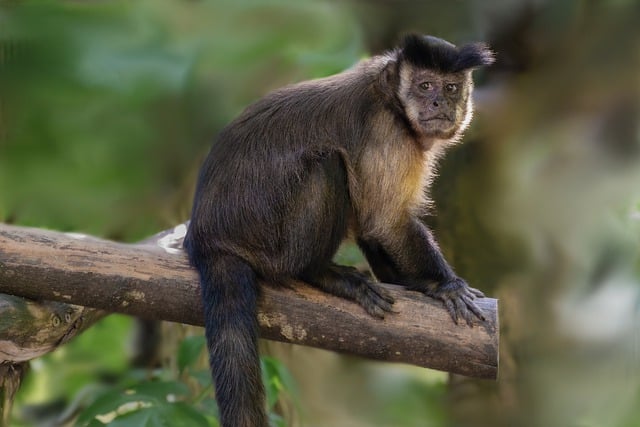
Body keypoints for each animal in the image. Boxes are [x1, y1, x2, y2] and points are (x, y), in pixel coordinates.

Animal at [183, 34, 494, 427]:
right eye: (425, 86)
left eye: (451, 88)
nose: (439, 102)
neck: (391, 100)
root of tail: (208, 238)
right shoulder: (387, 133)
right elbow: (386, 221)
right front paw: (445, 286)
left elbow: (372, 224)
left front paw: (412, 282)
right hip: (267, 238)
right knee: (328, 163)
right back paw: (316, 273)